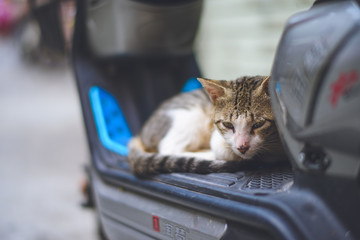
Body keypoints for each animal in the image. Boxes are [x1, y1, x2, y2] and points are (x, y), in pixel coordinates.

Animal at [127, 76, 286, 177]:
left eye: (259, 124)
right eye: (227, 124)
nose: (242, 147)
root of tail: (141, 133)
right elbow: (221, 148)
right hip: (188, 117)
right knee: (169, 148)